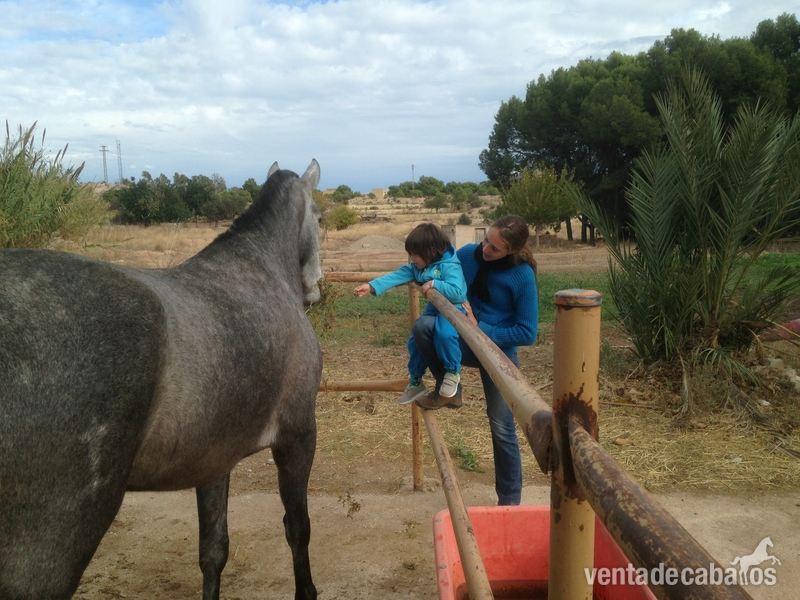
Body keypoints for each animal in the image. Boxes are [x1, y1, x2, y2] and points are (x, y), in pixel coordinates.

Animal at [0, 160, 323, 600]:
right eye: (320, 217)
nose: (315, 288)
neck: (260, 270)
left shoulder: (214, 458)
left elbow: (214, 550)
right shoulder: (298, 437)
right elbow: (298, 528)